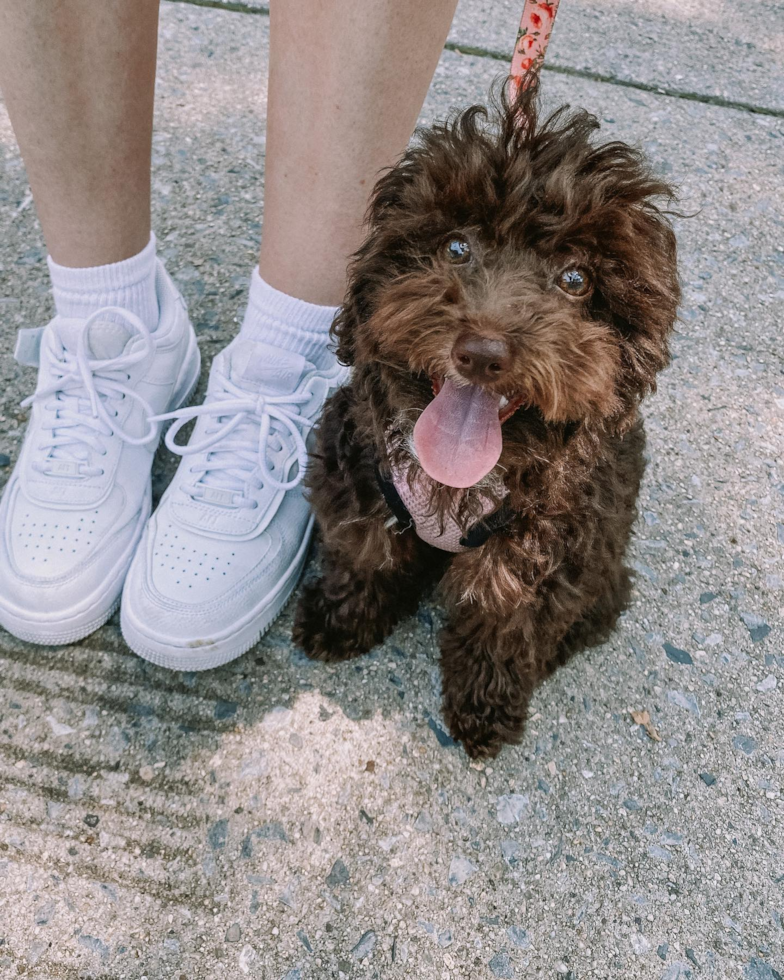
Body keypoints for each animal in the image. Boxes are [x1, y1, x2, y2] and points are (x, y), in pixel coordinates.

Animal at [294, 84, 680, 756]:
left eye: (576, 278)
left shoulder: (541, 559)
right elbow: (361, 557)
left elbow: (500, 628)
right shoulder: (359, 484)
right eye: (456, 247)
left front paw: (483, 708)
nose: (482, 353)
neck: (457, 481)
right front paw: (339, 620)